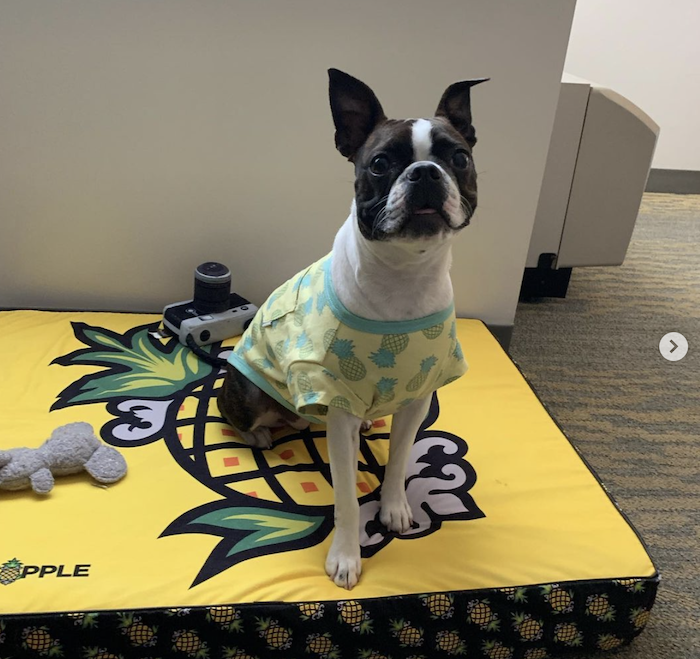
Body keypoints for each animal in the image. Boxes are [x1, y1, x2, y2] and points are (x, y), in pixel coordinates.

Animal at [219, 69, 486, 592]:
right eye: (380, 164)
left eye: (459, 158)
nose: (425, 172)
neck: (404, 275)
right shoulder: (337, 406)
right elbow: (344, 497)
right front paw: (345, 556)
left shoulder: (418, 397)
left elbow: (399, 461)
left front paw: (394, 508)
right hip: (251, 388)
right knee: (238, 416)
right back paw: (258, 434)